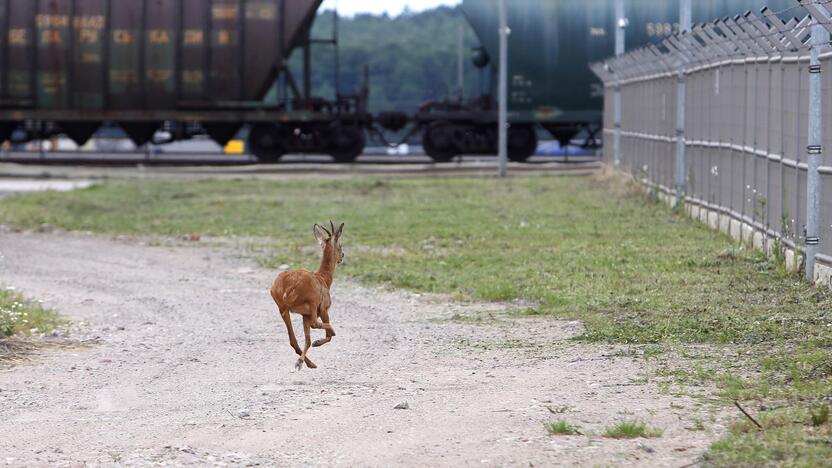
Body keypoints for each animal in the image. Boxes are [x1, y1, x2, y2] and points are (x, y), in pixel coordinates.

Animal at [270, 221, 342, 372]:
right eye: (340, 245)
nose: (342, 256)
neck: (324, 279)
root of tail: (288, 289)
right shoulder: (323, 308)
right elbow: (325, 335)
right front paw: (318, 341)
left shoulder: (305, 314)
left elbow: (307, 340)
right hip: (312, 302)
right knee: (316, 325)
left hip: (283, 309)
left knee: (293, 340)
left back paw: (307, 363)